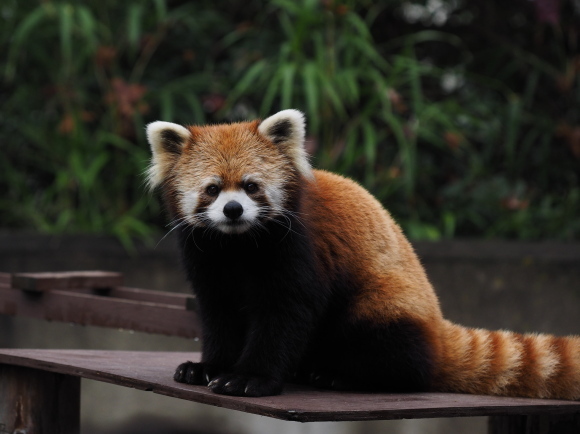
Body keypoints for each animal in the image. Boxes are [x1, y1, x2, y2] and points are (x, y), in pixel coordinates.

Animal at [146, 110, 580, 398]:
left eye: (251, 186)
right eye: (212, 189)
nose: (233, 210)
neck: (238, 244)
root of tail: (438, 333)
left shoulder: (299, 250)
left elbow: (286, 313)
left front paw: (249, 377)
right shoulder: (207, 257)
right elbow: (219, 315)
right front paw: (208, 367)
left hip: (383, 306)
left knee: (395, 354)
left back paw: (339, 376)